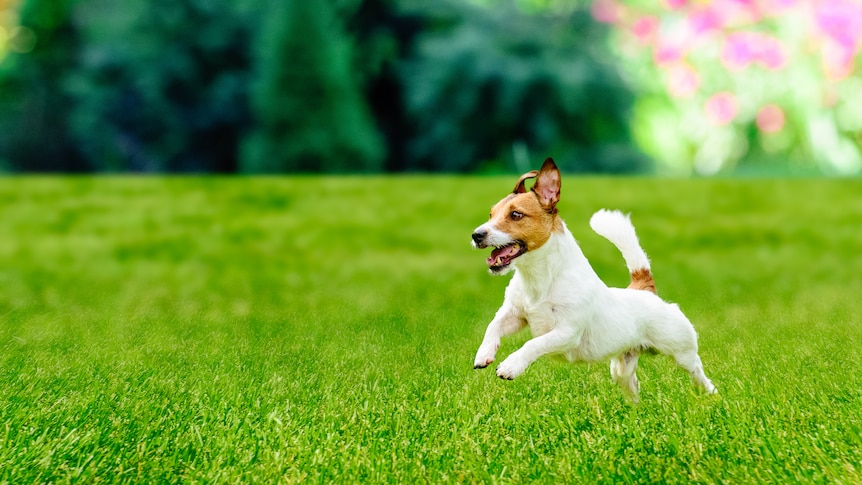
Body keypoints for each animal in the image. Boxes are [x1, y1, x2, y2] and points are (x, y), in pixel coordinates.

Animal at [470, 159, 720, 400]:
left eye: (516, 215)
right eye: (491, 214)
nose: (476, 235)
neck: (538, 277)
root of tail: (644, 289)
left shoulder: (567, 332)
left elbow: (533, 343)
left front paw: (511, 365)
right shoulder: (514, 315)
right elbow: (493, 326)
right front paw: (484, 354)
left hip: (680, 348)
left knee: (696, 368)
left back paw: (709, 393)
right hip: (622, 367)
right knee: (633, 384)